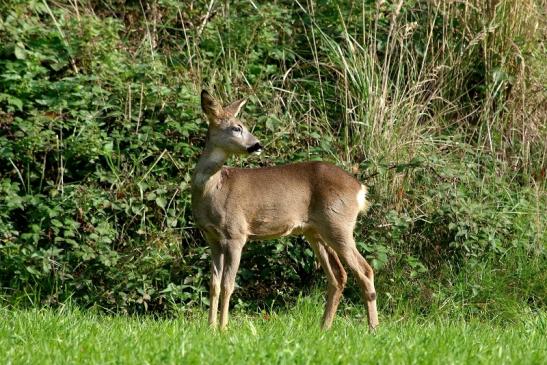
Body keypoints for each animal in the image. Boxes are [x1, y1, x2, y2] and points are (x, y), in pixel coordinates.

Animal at [191, 90, 378, 330]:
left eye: (243, 125)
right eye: (236, 127)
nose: (257, 145)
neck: (214, 187)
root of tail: (359, 188)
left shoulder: (235, 233)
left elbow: (227, 284)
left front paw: (223, 328)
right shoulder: (212, 237)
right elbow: (214, 284)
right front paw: (210, 327)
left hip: (339, 224)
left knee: (365, 270)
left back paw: (373, 328)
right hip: (315, 231)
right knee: (338, 275)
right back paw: (324, 328)